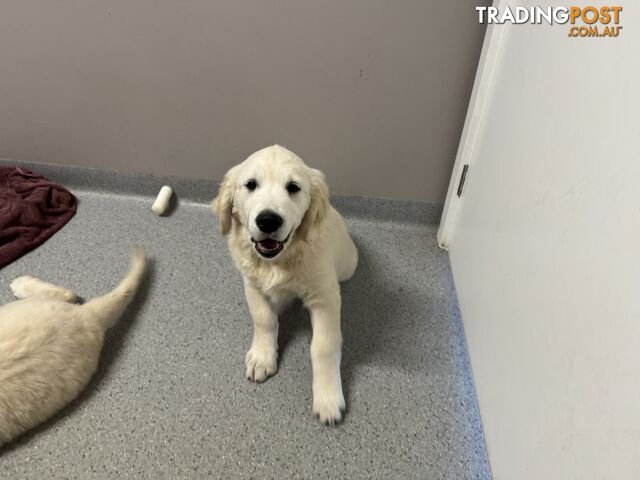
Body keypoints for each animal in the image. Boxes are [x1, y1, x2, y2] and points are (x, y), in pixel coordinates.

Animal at [211, 145, 358, 424]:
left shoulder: (325, 296)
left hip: (348, 264)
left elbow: (324, 345)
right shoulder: (252, 285)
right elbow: (264, 319)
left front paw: (328, 397)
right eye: (251, 184)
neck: (279, 261)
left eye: (293, 187)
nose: (268, 220)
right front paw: (262, 357)